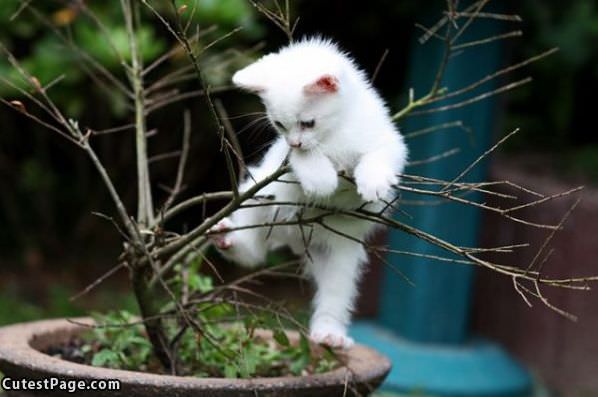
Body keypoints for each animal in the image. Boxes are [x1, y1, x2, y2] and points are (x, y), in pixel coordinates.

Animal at [211, 37, 408, 346]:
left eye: (308, 123)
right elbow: (306, 161)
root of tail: (292, 236)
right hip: (259, 197)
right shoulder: (285, 161)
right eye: (279, 125)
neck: (336, 131)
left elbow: (378, 158)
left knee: (334, 294)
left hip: (340, 254)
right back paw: (227, 240)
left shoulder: (388, 142)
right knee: (252, 251)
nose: (295, 142)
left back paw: (329, 333)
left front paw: (372, 183)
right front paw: (322, 180)